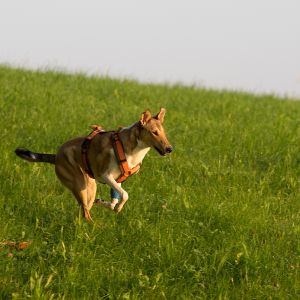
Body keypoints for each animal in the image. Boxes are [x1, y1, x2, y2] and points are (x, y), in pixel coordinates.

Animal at [14, 108, 173, 220]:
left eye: (164, 132)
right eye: (154, 132)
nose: (169, 149)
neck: (133, 148)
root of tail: (56, 156)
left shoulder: (117, 180)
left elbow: (116, 197)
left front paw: (108, 204)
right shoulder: (106, 175)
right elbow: (125, 195)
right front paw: (118, 208)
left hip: (90, 186)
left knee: (83, 212)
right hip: (81, 185)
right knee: (85, 212)